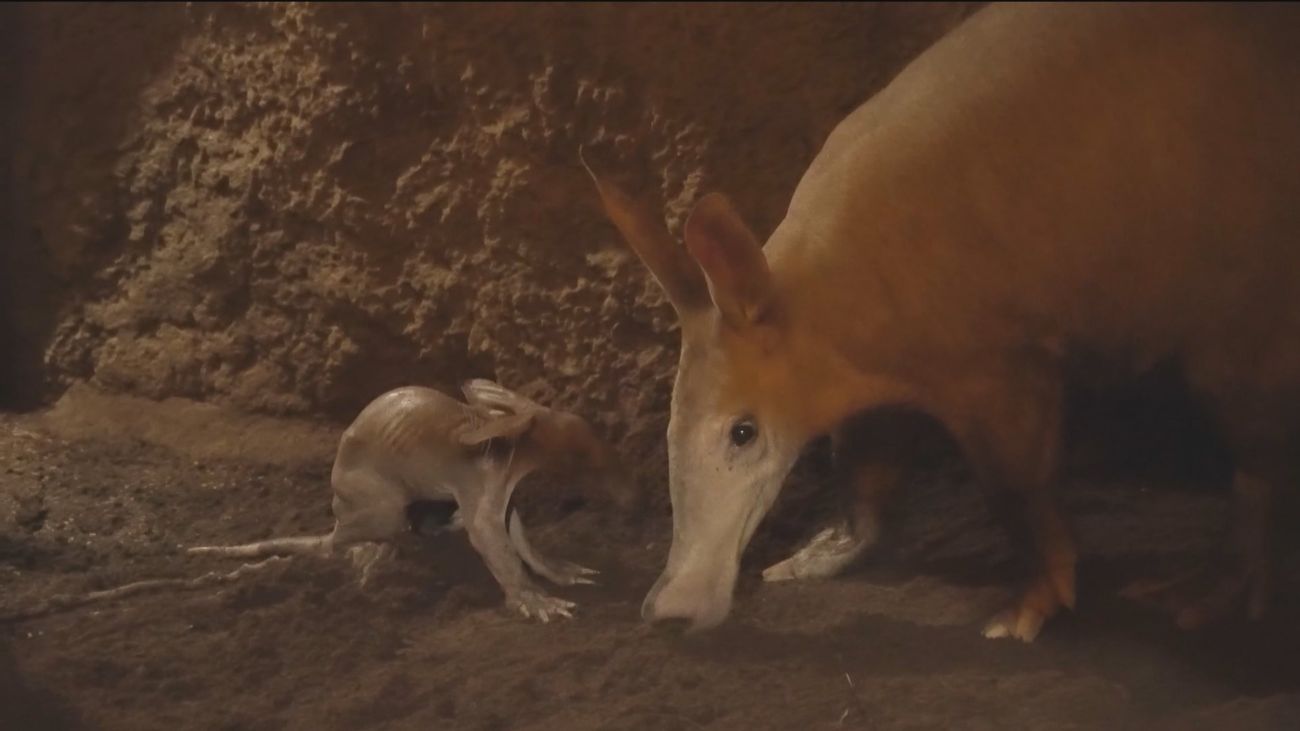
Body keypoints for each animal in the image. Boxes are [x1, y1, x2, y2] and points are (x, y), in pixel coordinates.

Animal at [189, 380, 633, 622]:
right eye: (579, 455)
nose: (630, 490)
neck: (509, 451)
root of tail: (337, 519)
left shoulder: (505, 498)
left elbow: (520, 538)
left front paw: (560, 570)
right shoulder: (478, 491)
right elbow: (493, 544)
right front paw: (536, 601)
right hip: (381, 507)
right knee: (355, 542)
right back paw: (377, 559)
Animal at [585, 2, 1300, 641]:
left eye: (743, 432)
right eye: (670, 422)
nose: (667, 611)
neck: (819, 307)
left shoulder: (1000, 364)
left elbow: (1017, 485)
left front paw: (1024, 612)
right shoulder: (866, 375)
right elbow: (863, 465)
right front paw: (816, 557)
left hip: (1243, 312)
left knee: (1253, 438)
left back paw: (1211, 592)